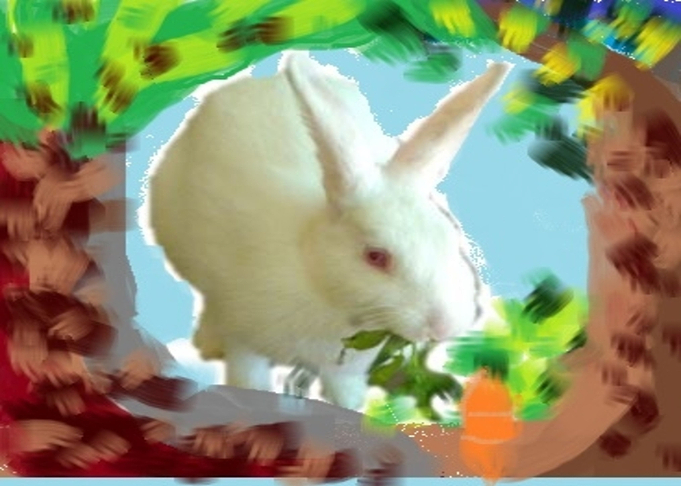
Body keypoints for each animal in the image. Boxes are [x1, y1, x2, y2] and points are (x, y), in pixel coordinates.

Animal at [147, 51, 512, 411]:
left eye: (451, 241)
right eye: (375, 256)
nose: (443, 326)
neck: (319, 284)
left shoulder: (345, 368)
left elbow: (344, 391)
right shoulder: (243, 341)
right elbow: (249, 377)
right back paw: (206, 342)